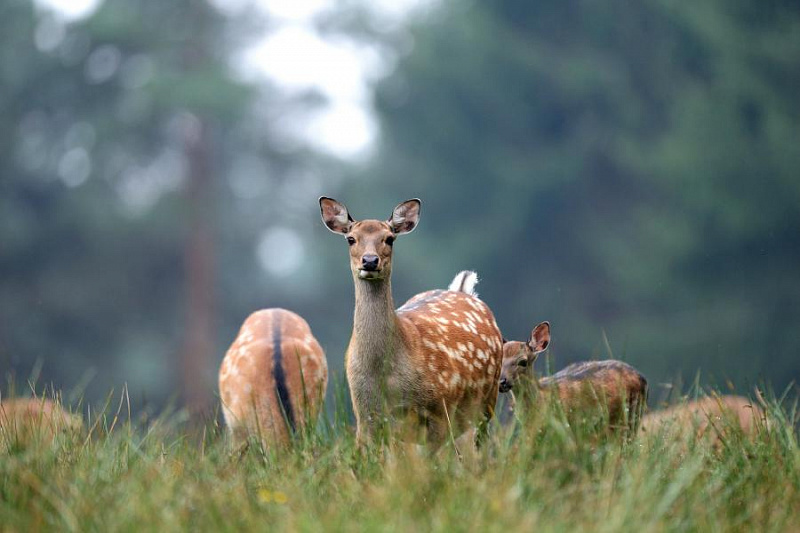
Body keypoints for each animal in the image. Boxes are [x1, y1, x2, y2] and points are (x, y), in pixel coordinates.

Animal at [320, 197, 504, 446]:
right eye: (351, 239)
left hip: (487, 398)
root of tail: (463, 290)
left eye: (389, 238)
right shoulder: (364, 415)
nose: (370, 261)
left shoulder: (439, 411)